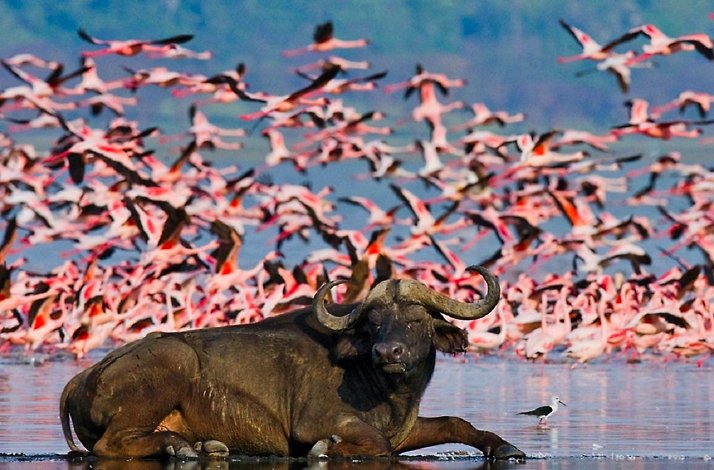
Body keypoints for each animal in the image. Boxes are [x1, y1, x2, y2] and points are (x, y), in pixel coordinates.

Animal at [60, 265, 525, 460]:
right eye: (374, 322)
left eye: (416, 319)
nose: (387, 353)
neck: (387, 391)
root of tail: (82, 377)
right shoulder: (316, 422)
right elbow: (373, 443)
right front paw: (327, 450)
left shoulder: (406, 429)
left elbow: (455, 423)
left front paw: (505, 447)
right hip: (169, 367)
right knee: (109, 445)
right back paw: (181, 449)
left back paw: (202, 446)